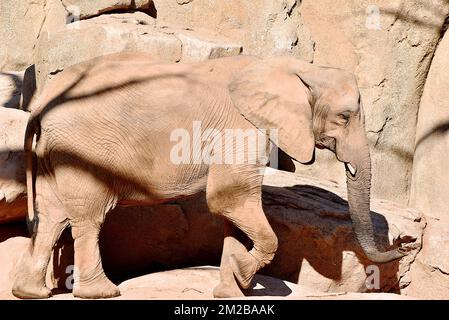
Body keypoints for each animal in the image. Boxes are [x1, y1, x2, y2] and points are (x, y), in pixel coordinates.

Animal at [13, 52, 406, 300]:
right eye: (344, 117)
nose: (403, 244)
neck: (294, 67)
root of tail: (40, 102)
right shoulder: (240, 127)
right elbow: (229, 197)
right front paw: (244, 276)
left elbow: (233, 210)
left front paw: (231, 290)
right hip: (82, 148)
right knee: (87, 217)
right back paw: (102, 293)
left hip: (53, 150)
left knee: (51, 215)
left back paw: (29, 292)